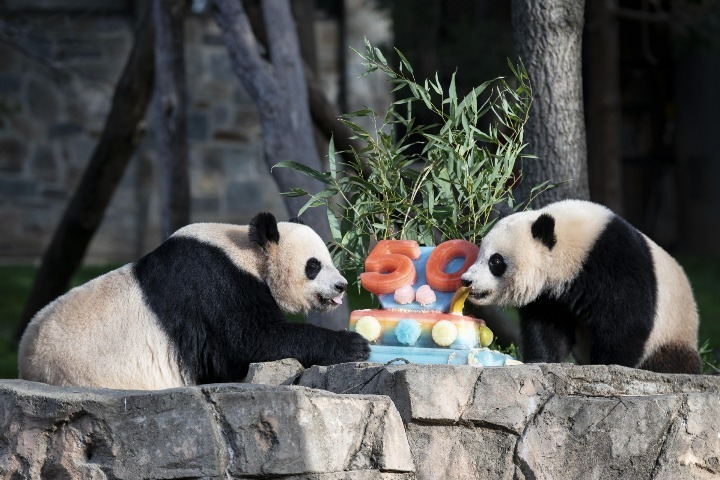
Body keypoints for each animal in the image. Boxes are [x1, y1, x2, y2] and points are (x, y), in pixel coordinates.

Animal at [19, 213, 372, 390]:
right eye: (314, 266)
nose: (341, 286)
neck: (246, 250)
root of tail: (27, 364)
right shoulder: (214, 287)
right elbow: (248, 340)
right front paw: (353, 344)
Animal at [462, 199, 704, 376]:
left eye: (495, 261)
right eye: (480, 253)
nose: (466, 280)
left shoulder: (615, 262)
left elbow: (627, 321)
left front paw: (609, 365)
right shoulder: (550, 294)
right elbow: (547, 326)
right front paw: (541, 359)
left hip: (672, 331)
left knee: (671, 361)